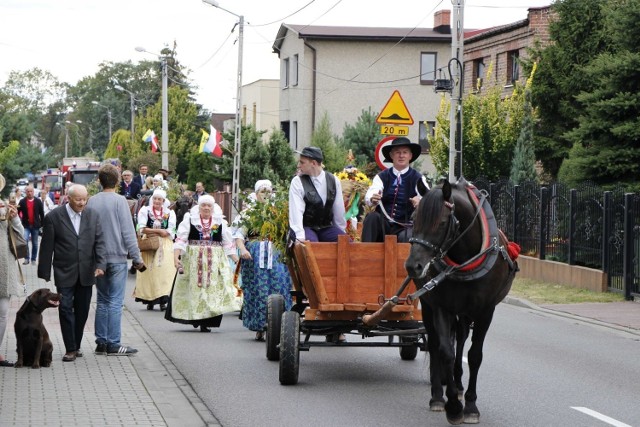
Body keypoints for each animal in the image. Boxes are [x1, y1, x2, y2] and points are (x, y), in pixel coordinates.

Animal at [404, 179, 520, 426]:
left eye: (442, 222)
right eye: (414, 217)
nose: (413, 266)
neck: (465, 258)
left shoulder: (485, 311)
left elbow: (474, 355)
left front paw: (471, 406)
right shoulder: (441, 307)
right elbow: (445, 351)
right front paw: (454, 407)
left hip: (466, 312)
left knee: (462, 337)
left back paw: (457, 385)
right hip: (428, 307)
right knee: (436, 343)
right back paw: (438, 396)